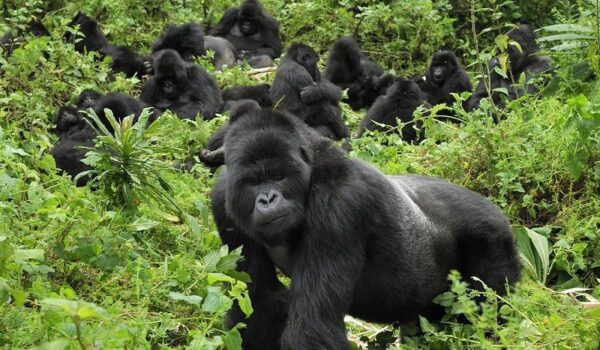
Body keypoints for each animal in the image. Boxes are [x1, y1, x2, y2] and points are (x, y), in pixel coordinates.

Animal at [211, 104, 520, 350]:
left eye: (278, 176)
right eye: (253, 182)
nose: (267, 199)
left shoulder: (338, 204)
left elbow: (312, 329)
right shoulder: (224, 201)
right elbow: (258, 305)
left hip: (494, 238)